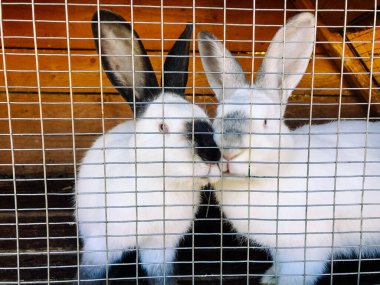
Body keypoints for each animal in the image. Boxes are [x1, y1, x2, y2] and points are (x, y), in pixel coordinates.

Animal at [74, 10, 221, 282]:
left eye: (205, 118)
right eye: (162, 127)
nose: (212, 156)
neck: (163, 183)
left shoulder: (160, 247)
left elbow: (161, 275)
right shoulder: (101, 245)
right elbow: (90, 273)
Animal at [197, 11, 380, 284]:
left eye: (265, 122)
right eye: (218, 118)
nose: (229, 152)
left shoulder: (303, 252)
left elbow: (293, 276)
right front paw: (270, 277)